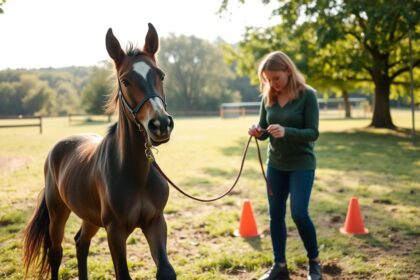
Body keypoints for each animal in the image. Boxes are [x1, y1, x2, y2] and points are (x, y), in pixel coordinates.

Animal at [22, 24, 176, 280]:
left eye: (161, 75)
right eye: (125, 81)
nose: (161, 124)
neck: (136, 172)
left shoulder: (155, 222)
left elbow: (166, 271)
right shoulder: (115, 231)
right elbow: (122, 274)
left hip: (90, 217)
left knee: (81, 243)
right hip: (58, 213)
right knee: (56, 252)